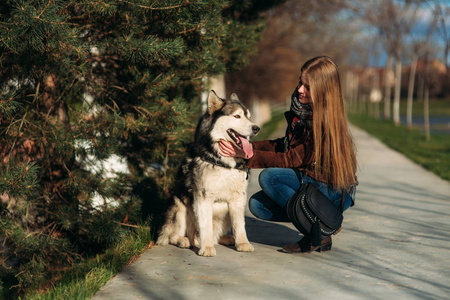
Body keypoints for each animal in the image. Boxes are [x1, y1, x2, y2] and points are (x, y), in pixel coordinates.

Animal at [156, 90, 260, 256]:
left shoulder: (238, 198)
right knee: (172, 236)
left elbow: (240, 225)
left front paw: (243, 243)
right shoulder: (203, 197)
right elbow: (205, 226)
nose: (256, 128)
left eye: (249, 116)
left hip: (224, 214)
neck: (224, 163)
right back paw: (184, 240)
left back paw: (225, 238)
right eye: (237, 116)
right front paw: (207, 248)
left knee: (216, 234)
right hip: (179, 206)